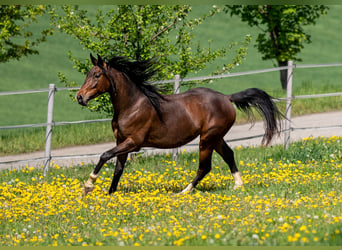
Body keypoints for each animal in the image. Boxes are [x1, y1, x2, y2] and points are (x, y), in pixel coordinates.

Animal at [77, 54, 284, 195]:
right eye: (88, 74)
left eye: (97, 75)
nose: (80, 97)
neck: (132, 105)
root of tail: (227, 98)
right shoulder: (121, 141)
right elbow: (118, 170)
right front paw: (110, 194)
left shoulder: (133, 142)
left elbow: (104, 155)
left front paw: (88, 186)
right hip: (216, 138)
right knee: (228, 155)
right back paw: (238, 185)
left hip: (207, 139)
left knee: (205, 167)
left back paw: (184, 191)